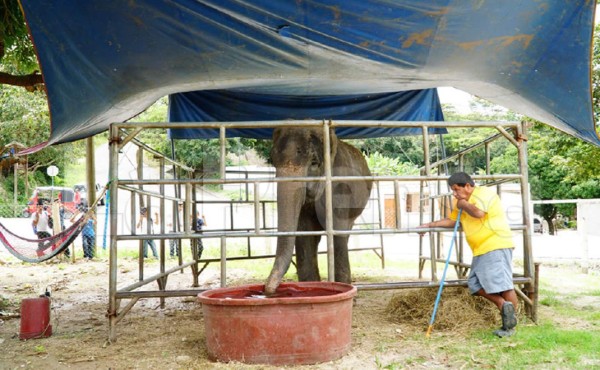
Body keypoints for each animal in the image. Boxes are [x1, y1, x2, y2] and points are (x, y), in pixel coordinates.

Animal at [264, 126, 372, 294]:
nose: (267, 289)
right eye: (273, 162)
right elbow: (304, 233)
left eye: (314, 163)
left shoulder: (340, 187)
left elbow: (338, 231)